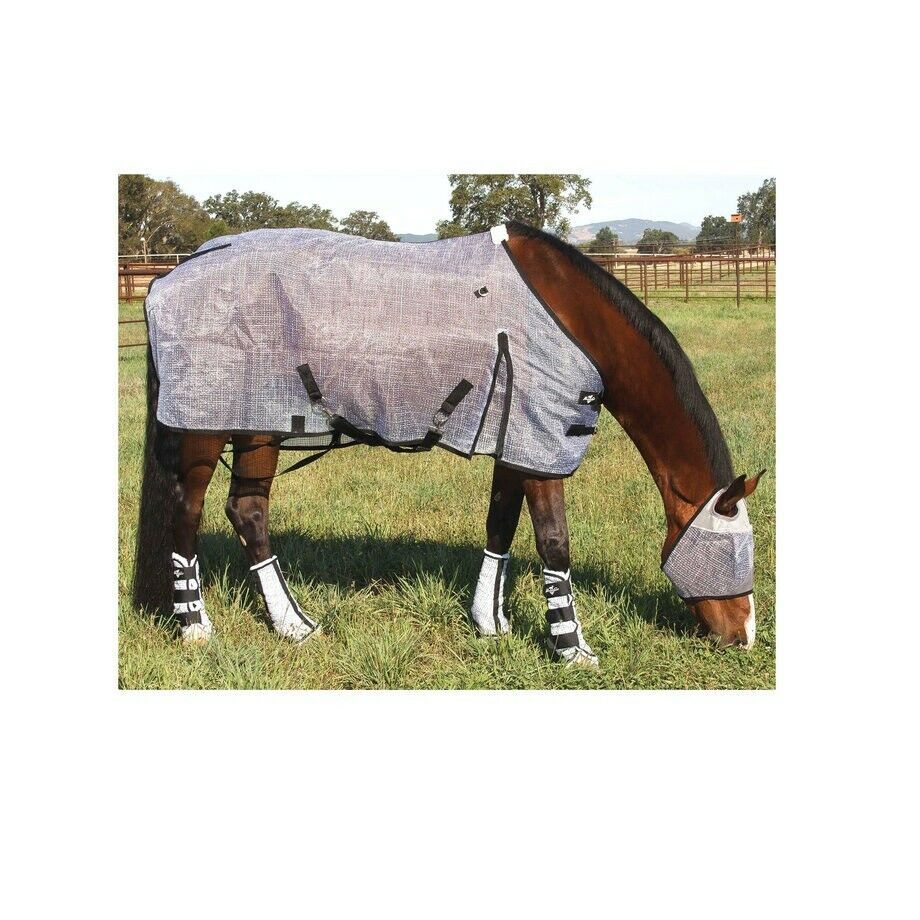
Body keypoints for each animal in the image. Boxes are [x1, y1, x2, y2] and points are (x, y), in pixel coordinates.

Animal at [132, 221, 765, 667]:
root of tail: (169, 276)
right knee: (190, 515)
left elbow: (500, 525)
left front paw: (491, 624)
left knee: (247, 511)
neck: (571, 318)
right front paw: (571, 649)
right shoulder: (542, 445)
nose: (745, 637)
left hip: (259, 424)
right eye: (735, 551)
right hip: (208, 429)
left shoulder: (517, 440)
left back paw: (294, 626)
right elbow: (554, 544)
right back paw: (198, 630)